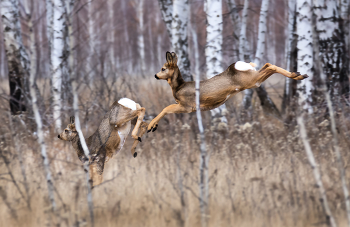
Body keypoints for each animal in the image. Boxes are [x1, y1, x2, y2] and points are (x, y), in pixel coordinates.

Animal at [146, 51, 308, 133]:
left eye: (163, 68)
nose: (155, 75)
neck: (179, 87)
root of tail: (237, 65)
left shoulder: (187, 106)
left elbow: (166, 108)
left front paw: (150, 126)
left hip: (249, 81)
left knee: (270, 66)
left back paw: (297, 75)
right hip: (253, 79)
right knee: (268, 64)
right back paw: (298, 74)